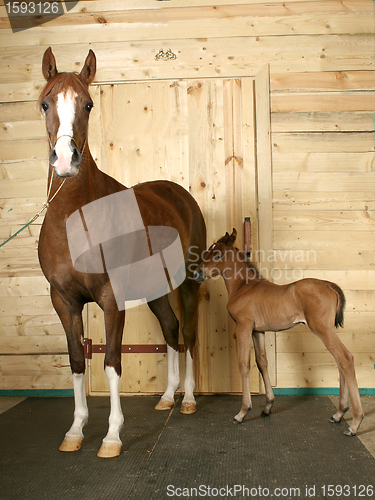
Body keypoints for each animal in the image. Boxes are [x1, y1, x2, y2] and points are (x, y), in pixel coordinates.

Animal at [195, 229, 366, 436]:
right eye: (206, 251)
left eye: (218, 255)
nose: (196, 273)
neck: (243, 287)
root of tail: (329, 284)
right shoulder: (257, 331)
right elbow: (262, 363)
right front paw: (268, 406)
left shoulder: (243, 326)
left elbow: (244, 364)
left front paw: (243, 412)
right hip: (328, 330)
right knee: (339, 360)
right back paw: (339, 413)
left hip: (322, 329)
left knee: (346, 358)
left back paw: (355, 423)